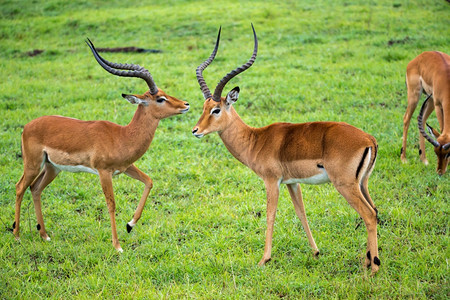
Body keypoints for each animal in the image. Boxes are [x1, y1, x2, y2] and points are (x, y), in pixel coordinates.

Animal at [12, 38, 190, 252]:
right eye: (160, 98)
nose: (185, 104)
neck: (122, 136)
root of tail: (28, 126)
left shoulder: (126, 167)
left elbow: (149, 181)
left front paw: (130, 225)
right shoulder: (104, 172)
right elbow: (111, 204)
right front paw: (117, 246)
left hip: (52, 168)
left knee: (35, 188)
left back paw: (45, 235)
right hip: (33, 164)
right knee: (20, 187)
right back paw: (17, 235)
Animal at [192, 25, 382, 274]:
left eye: (216, 110)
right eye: (204, 107)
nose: (195, 130)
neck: (256, 140)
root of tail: (369, 139)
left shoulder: (272, 181)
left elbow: (270, 215)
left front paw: (264, 259)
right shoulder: (292, 183)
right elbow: (301, 213)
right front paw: (316, 252)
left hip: (345, 185)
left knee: (368, 215)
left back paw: (373, 269)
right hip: (362, 183)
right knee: (375, 211)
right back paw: (369, 260)